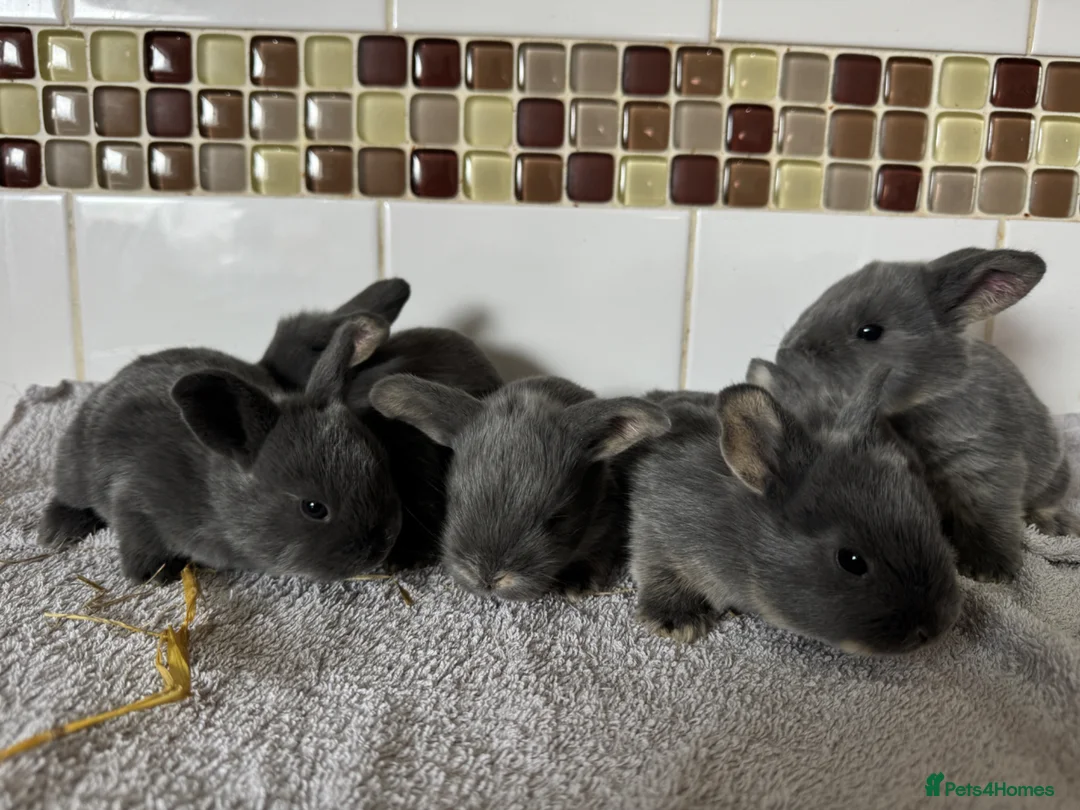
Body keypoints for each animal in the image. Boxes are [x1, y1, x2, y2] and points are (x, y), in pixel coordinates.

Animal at [37, 316, 403, 583]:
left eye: (384, 468)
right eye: (313, 508)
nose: (380, 548)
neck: (214, 494)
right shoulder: (133, 498)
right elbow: (138, 540)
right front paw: (155, 575)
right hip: (76, 470)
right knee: (67, 496)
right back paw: (57, 531)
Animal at [627, 369, 962, 653]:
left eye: (935, 525)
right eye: (850, 560)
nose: (935, 629)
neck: (735, 530)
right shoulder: (656, 533)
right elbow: (658, 572)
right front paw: (678, 621)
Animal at [769, 247, 1078, 583]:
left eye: (869, 332)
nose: (783, 355)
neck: (925, 399)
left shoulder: (985, 467)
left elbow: (990, 516)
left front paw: (990, 569)